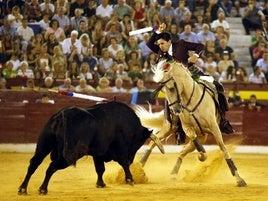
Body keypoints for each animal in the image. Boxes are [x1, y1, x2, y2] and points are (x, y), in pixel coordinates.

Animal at [18, 101, 163, 194]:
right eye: (138, 143)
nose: (131, 159)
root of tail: (63, 115)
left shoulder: (98, 153)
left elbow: (100, 169)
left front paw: (100, 184)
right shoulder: (119, 149)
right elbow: (123, 164)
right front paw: (130, 180)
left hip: (44, 144)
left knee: (34, 163)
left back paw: (23, 189)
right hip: (72, 153)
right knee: (51, 166)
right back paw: (43, 189)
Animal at [135, 59, 246, 187]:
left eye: (172, 88)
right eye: (163, 90)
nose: (175, 110)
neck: (191, 99)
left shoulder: (214, 128)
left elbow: (223, 149)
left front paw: (239, 179)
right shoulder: (187, 128)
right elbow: (199, 147)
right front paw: (201, 156)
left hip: (202, 135)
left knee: (182, 151)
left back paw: (172, 174)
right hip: (170, 127)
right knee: (154, 142)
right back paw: (140, 166)